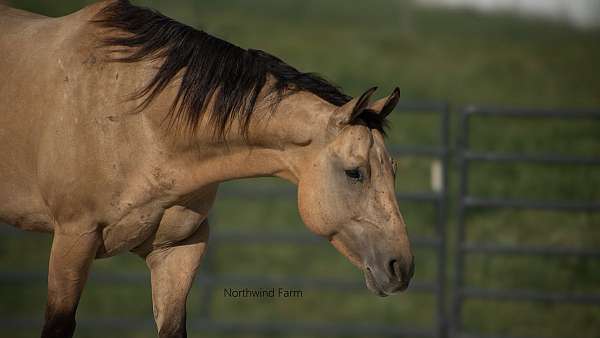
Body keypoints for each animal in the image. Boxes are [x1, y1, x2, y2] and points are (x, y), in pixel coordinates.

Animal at [0, 1, 412, 336]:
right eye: (355, 172)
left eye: (394, 170)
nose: (401, 268)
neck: (137, 121)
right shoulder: (74, 239)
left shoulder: (179, 249)